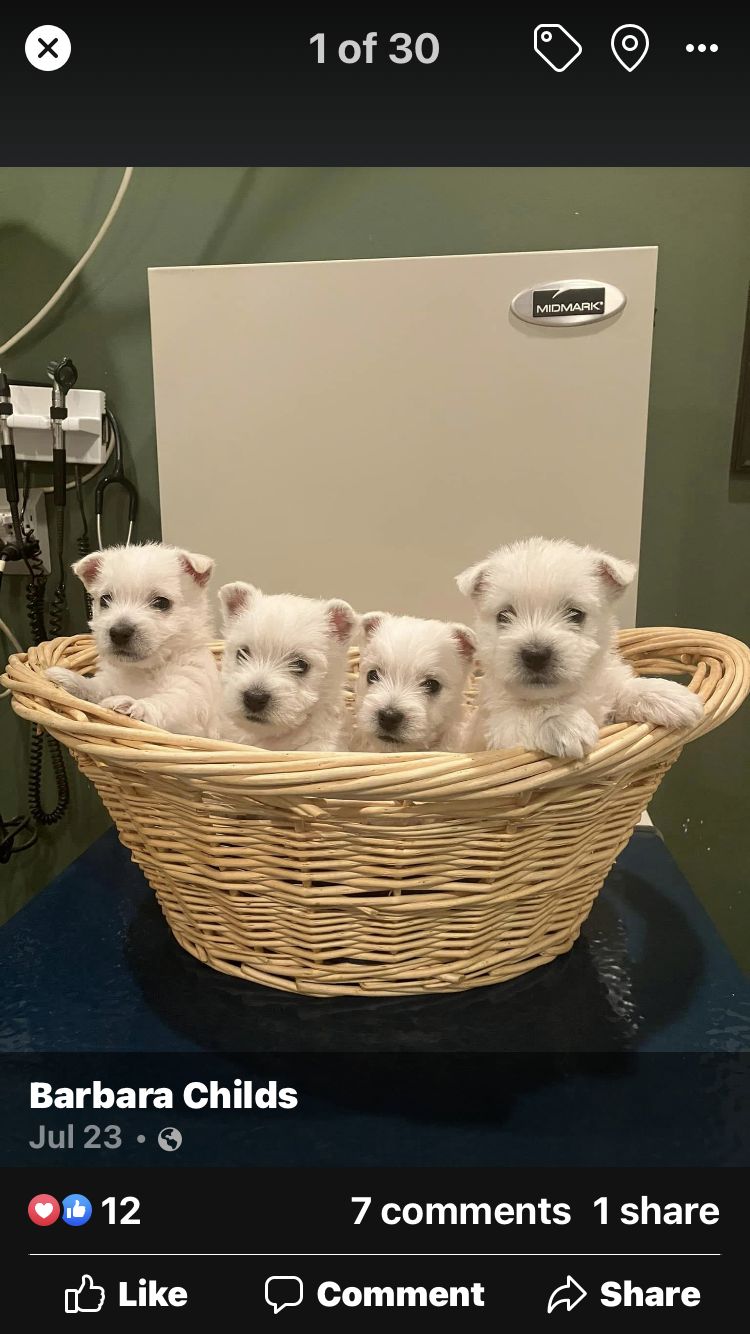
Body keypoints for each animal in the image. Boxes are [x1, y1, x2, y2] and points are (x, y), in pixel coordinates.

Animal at [46, 538, 217, 736]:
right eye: (104, 600)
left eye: (161, 602)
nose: (119, 633)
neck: (142, 670)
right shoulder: (111, 682)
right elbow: (98, 687)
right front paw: (69, 679)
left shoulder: (191, 690)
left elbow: (167, 703)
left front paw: (134, 705)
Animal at [456, 533, 699, 763]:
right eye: (503, 615)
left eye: (576, 614)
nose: (535, 655)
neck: (569, 694)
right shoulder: (497, 726)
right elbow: (530, 711)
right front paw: (563, 722)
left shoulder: (604, 691)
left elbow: (622, 688)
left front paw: (669, 696)